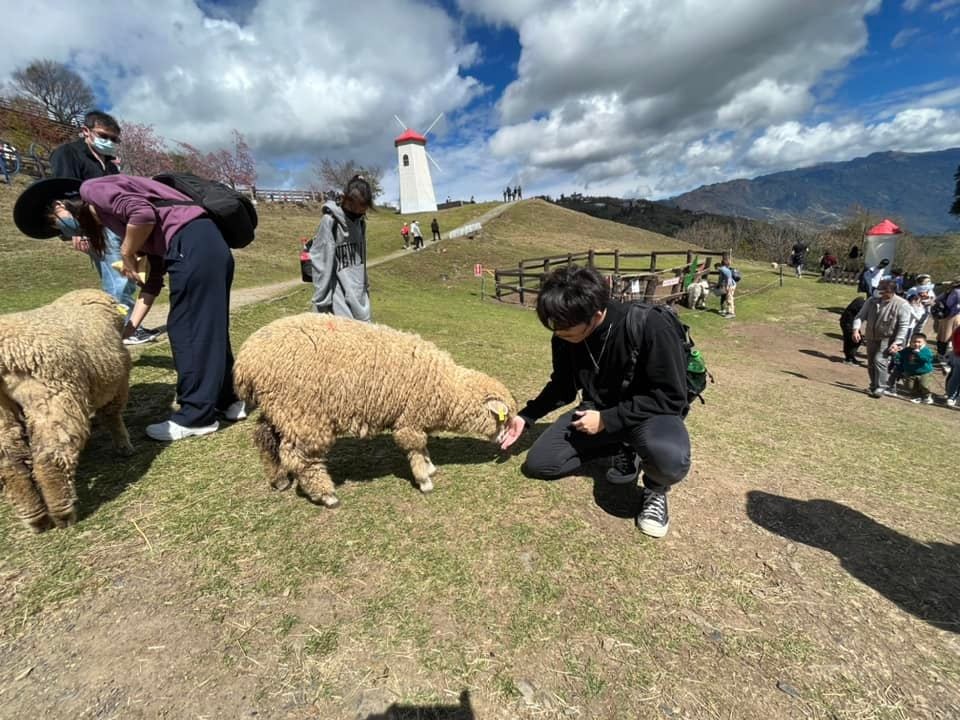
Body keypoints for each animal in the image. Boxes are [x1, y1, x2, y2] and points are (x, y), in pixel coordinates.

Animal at [0, 290, 133, 532]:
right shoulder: (118, 384)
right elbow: (112, 416)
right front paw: (124, 446)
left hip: (3, 411)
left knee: (9, 464)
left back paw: (35, 518)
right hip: (55, 395)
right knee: (50, 457)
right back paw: (62, 514)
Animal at [233, 314, 516, 506]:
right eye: (504, 419)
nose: (505, 441)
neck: (445, 387)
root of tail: (246, 362)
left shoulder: (415, 418)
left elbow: (423, 446)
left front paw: (429, 466)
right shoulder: (410, 419)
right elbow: (415, 448)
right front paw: (424, 479)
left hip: (280, 410)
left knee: (265, 438)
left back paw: (279, 479)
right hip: (303, 413)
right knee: (302, 458)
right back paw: (326, 495)